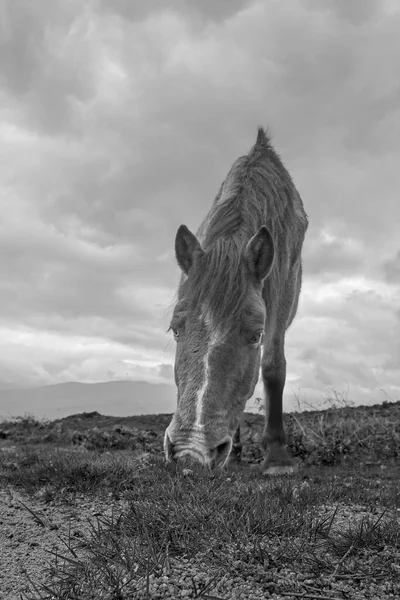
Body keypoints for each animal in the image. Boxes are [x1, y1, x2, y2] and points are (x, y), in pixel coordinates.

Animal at [164, 126, 308, 474]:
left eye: (256, 335)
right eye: (175, 330)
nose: (191, 452)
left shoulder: (279, 303)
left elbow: (272, 368)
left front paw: (278, 456)